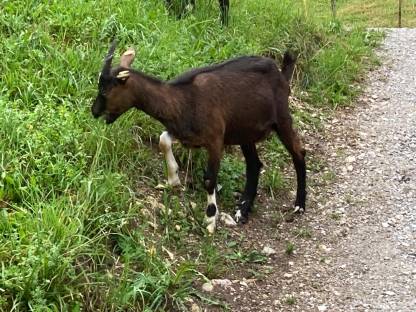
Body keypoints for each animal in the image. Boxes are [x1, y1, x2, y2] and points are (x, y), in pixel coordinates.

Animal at [92, 41, 306, 233]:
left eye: (105, 90)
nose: (94, 112)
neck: (184, 99)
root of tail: (281, 75)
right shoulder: (184, 132)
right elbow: (163, 140)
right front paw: (172, 179)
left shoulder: (215, 139)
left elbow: (209, 178)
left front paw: (210, 219)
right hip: (245, 130)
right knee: (254, 164)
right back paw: (242, 210)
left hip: (282, 118)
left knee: (298, 151)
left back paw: (299, 205)